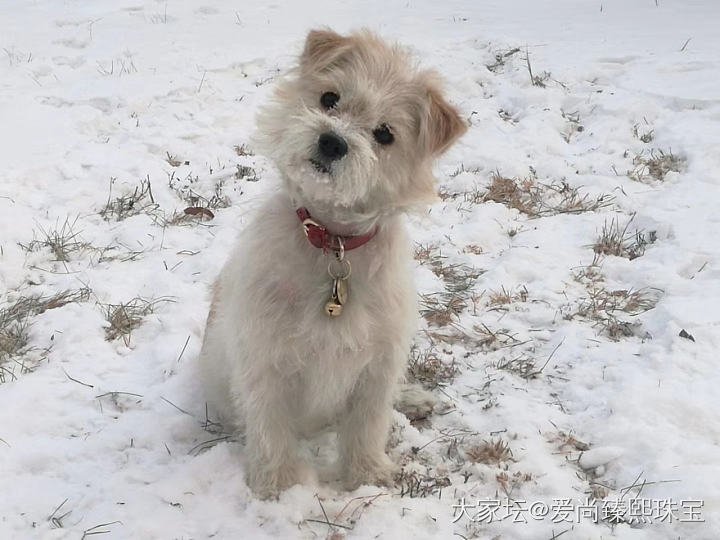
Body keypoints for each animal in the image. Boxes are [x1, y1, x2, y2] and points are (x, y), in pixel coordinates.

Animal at [197, 26, 466, 498]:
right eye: (329, 98)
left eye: (384, 133)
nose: (332, 141)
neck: (334, 243)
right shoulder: (266, 357)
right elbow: (271, 425)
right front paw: (279, 487)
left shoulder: (378, 360)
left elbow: (367, 423)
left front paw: (367, 476)